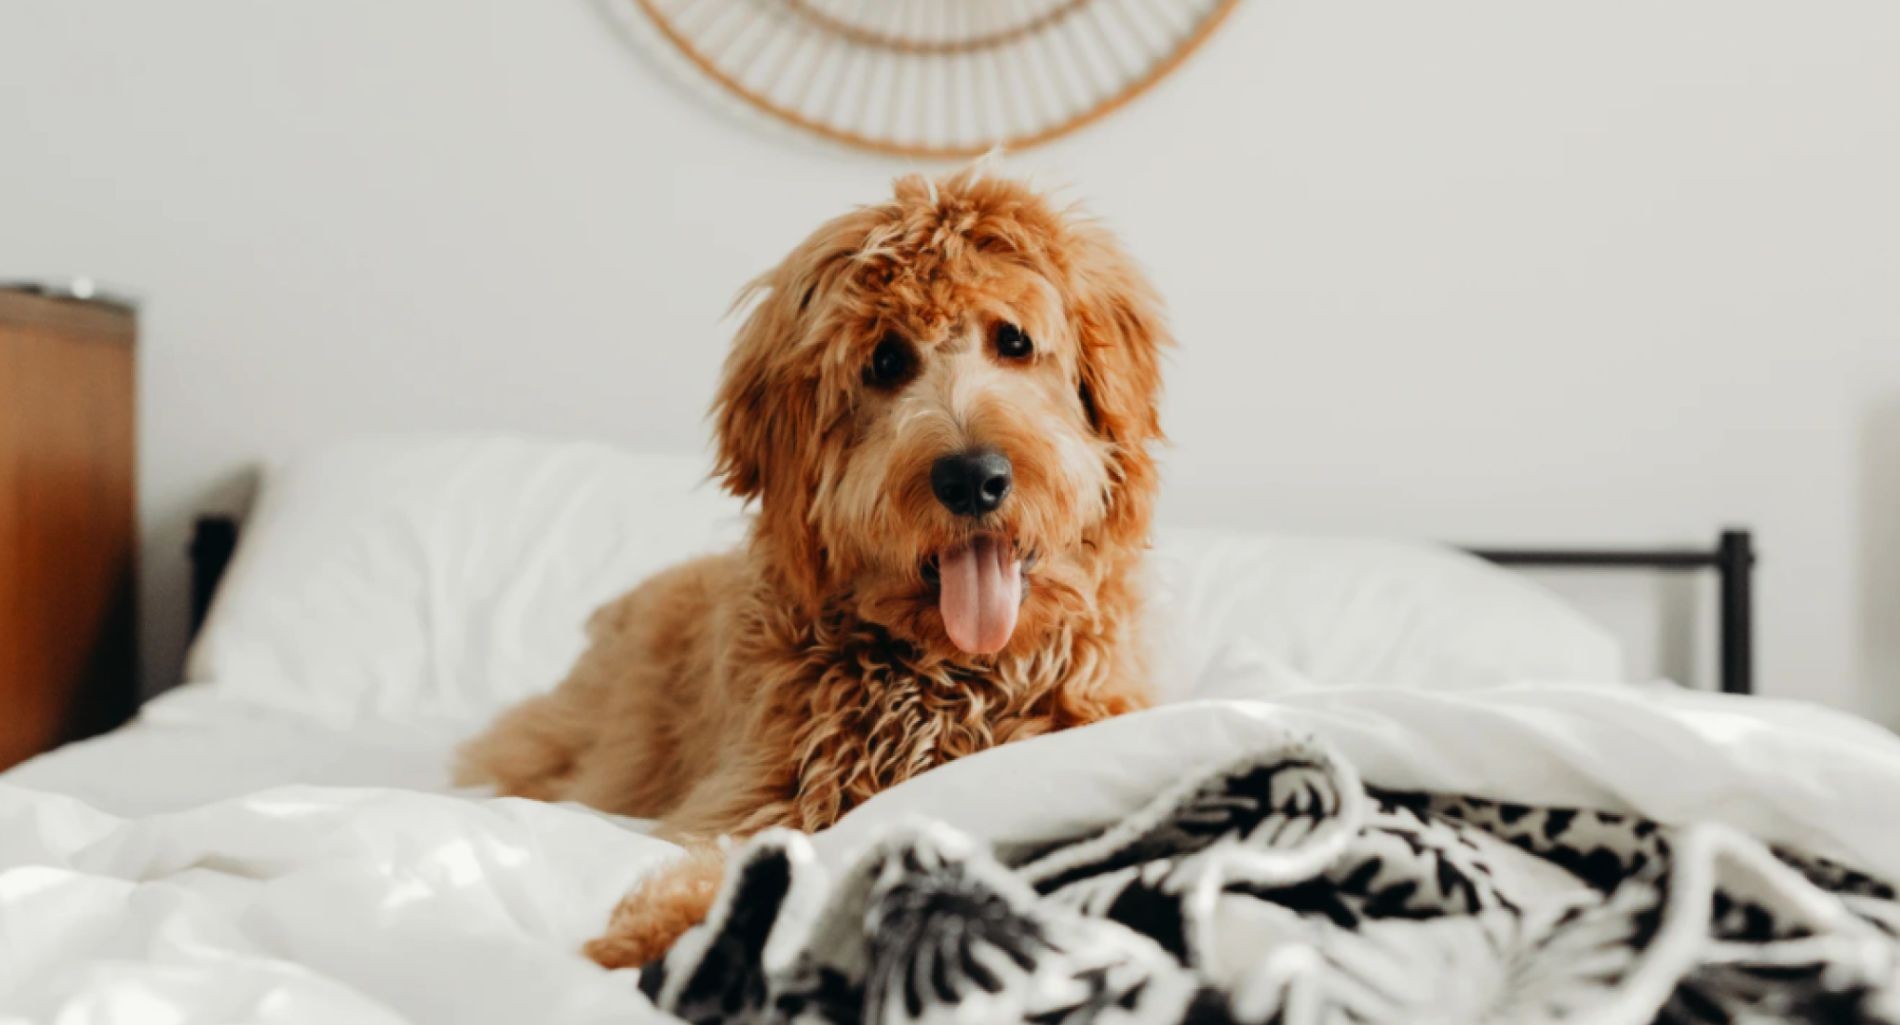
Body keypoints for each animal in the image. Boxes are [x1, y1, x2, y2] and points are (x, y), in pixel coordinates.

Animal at [459, 168, 1170, 969]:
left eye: (1014, 340)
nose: (972, 478)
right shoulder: (760, 791)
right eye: (885, 361)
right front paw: (666, 923)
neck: (952, 680)